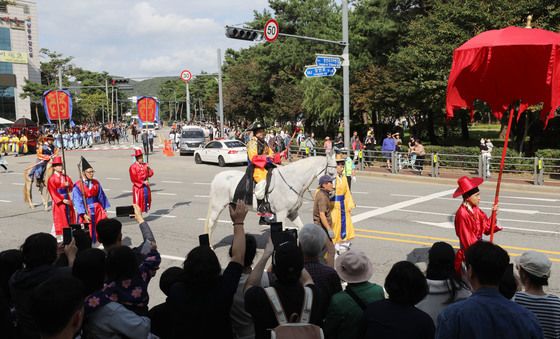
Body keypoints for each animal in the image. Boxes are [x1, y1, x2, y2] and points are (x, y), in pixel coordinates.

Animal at [206, 155, 336, 243]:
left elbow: (301, 227)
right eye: (330, 173)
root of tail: (217, 176)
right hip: (217, 207)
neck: (292, 180)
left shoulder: (292, 213)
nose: (332, 193)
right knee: (211, 224)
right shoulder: (281, 213)